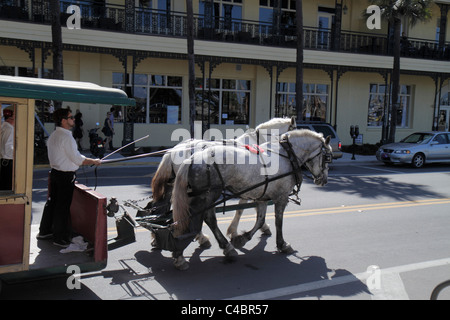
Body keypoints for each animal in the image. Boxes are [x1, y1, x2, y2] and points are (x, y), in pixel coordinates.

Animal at [171, 130, 332, 270]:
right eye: (327, 157)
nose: (323, 180)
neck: (287, 156)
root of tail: (192, 158)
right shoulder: (281, 197)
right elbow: (278, 221)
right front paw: (282, 244)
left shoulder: (262, 197)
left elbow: (260, 220)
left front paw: (242, 238)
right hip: (209, 195)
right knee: (207, 219)